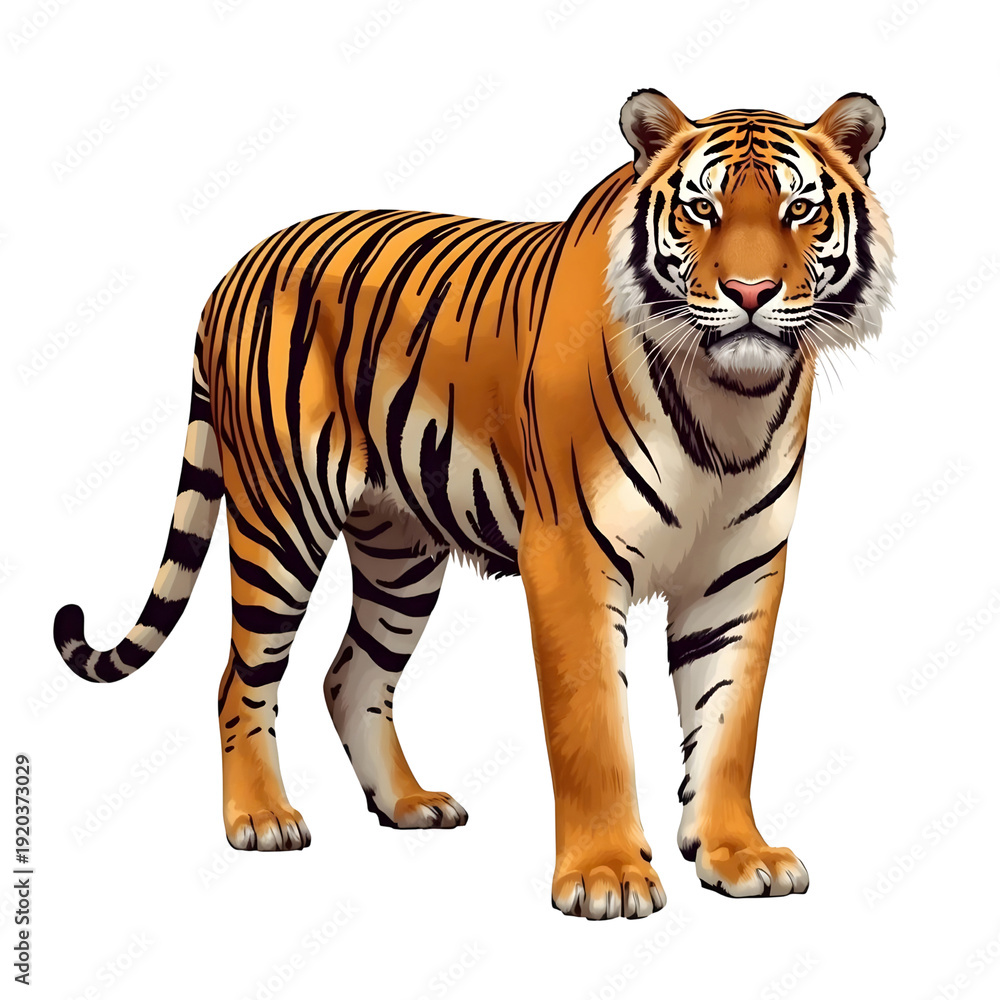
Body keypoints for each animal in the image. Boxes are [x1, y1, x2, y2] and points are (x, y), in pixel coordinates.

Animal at [53, 89, 893, 919]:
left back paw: (408, 803)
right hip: (279, 517)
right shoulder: (570, 554)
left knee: (350, 677)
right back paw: (260, 819)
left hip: (398, 552)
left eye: (799, 210)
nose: (750, 295)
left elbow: (729, 724)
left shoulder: (741, 571)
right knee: (242, 676)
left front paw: (737, 855)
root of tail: (234, 269)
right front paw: (608, 875)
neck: (729, 400)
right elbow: (593, 725)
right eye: (700, 209)